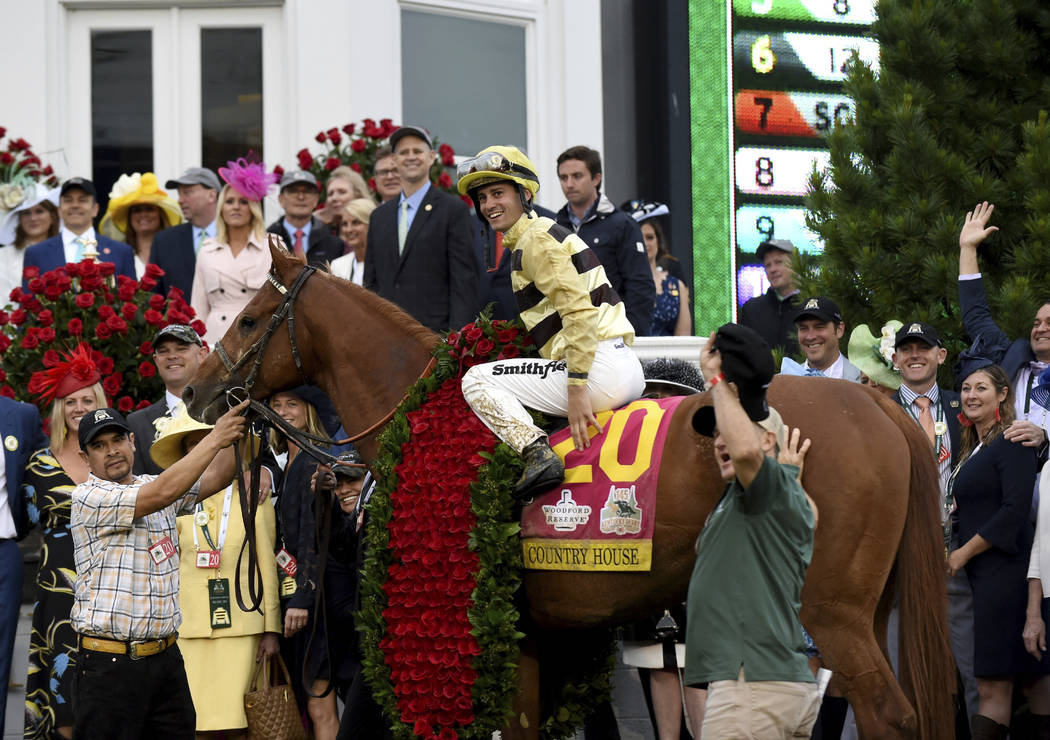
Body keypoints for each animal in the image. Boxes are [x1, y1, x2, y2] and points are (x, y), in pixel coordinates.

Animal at [184, 243, 957, 738]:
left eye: (248, 318)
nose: (194, 391)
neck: (418, 407)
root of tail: (878, 403)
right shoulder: (529, 632)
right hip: (869, 607)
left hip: (831, 611)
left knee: (887, 715)